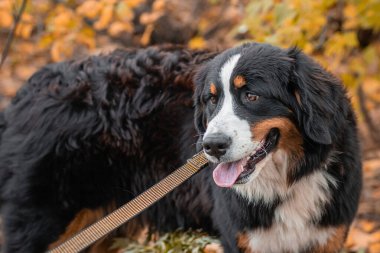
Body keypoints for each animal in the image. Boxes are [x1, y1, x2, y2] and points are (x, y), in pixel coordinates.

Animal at [0, 42, 362, 252]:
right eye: (211, 100)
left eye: (251, 95)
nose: (212, 146)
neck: (285, 182)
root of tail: (23, 96)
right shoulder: (241, 239)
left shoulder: (328, 236)